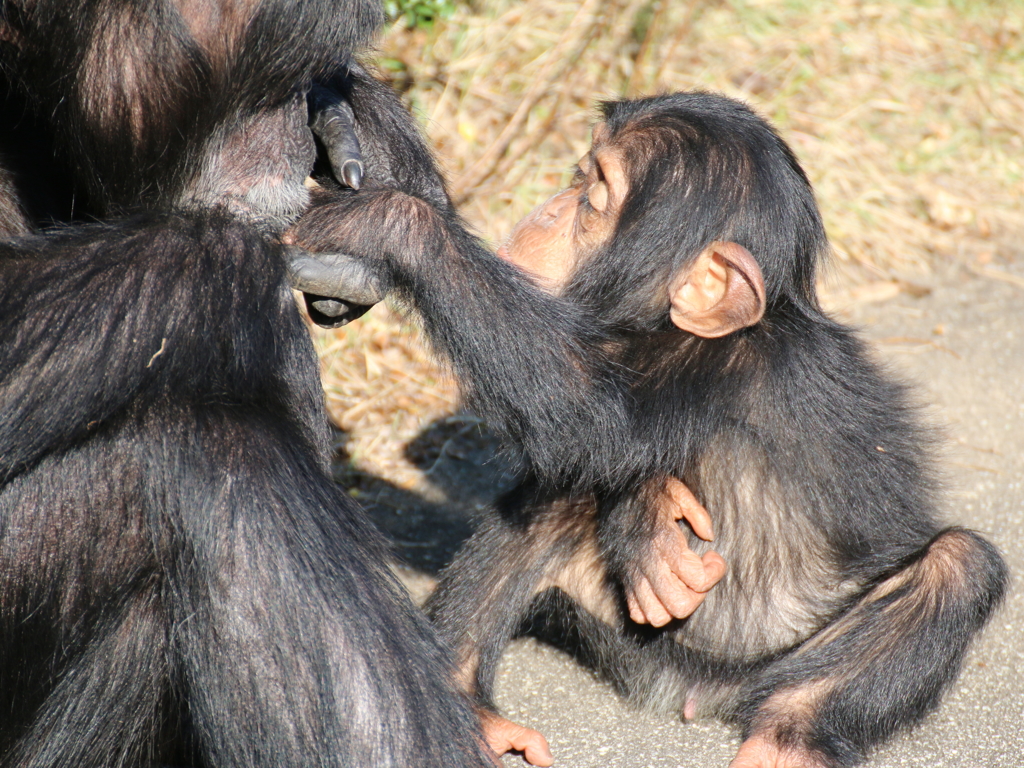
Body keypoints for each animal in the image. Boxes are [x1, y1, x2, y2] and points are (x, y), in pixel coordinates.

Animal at [286, 94, 1007, 768]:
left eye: (595, 196)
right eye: (577, 178)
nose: (549, 208)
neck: (666, 327)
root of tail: (691, 692)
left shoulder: (718, 367)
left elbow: (591, 415)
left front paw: (389, 221)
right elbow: (592, 447)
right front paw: (650, 517)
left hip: (784, 663)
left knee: (956, 568)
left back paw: (790, 735)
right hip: (627, 634)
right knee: (552, 504)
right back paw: (472, 707)